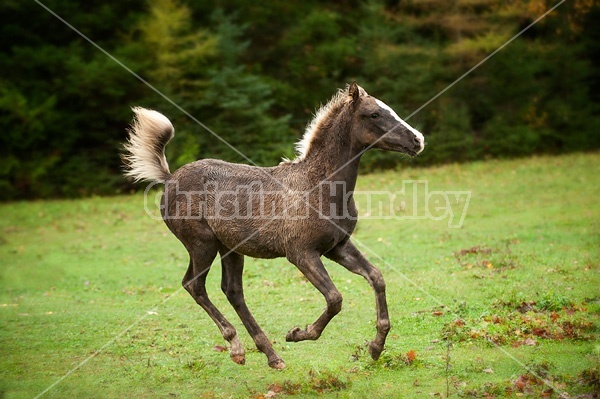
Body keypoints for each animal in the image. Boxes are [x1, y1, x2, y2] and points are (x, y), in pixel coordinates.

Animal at [123, 83, 422, 370]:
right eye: (374, 114)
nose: (417, 140)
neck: (320, 185)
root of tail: (169, 178)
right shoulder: (301, 253)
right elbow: (335, 298)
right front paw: (298, 333)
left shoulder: (337, 247)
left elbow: (377, 277)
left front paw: (376, 348)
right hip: (201, 245)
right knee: (194, 286)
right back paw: (237, 347)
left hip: (230, 249)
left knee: (232, 291)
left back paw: (271, 356)